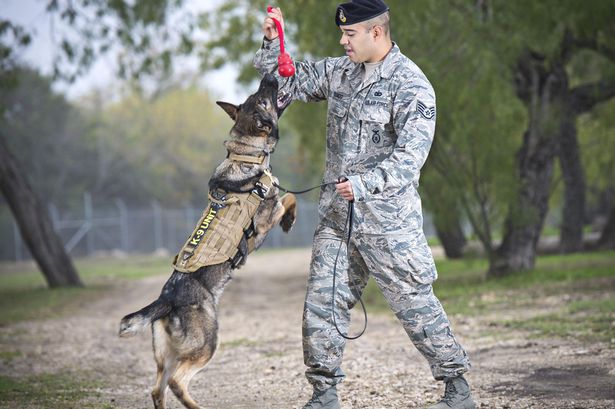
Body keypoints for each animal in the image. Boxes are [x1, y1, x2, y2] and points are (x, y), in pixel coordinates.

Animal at [119, 74, 296, 408]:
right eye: (262, 99)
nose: (269, 76)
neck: (245, 152)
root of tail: (167, 299)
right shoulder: (267, 216)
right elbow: (290, 198)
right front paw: (290, 219)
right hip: (207, 343)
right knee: (177, 382)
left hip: (167, 355)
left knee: (157, 388)